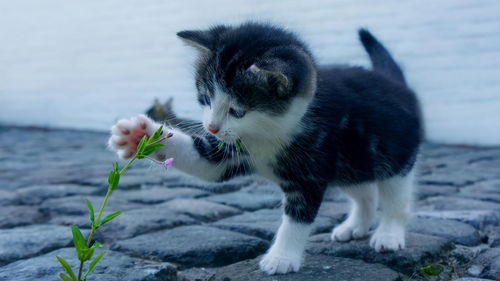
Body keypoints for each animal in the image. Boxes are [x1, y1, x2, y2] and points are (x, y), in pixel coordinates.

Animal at [108, 21, 422, 274]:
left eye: (237, 110)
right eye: (205, 98)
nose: (211, 127)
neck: (269, 132)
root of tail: (395, 82)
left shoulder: (312, 166)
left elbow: (297, 217)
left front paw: (281, 258)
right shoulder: (230, 151)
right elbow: (205, 162)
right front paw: (139, 135)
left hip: (393, 155)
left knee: (395, 196)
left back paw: (389, 234)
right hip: (351, 162)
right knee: (364, 191)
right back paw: (355, 225)